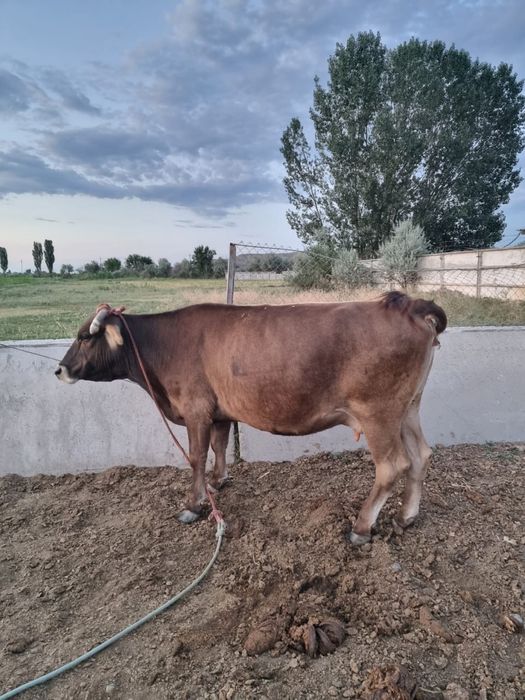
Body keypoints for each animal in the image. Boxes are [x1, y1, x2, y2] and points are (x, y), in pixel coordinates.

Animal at [55, 291, 446, 544]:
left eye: (84, 338)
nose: (59, 369)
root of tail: (408, 304)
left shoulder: (195, 408)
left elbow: (196, 456)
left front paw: (192, 505)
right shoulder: (219, 411)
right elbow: (219, 446)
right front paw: (217, 482)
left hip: (377, 412)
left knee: (392, 466)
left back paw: (361, 527)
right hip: (408, 407)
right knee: (420, 455)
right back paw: (407, 515)